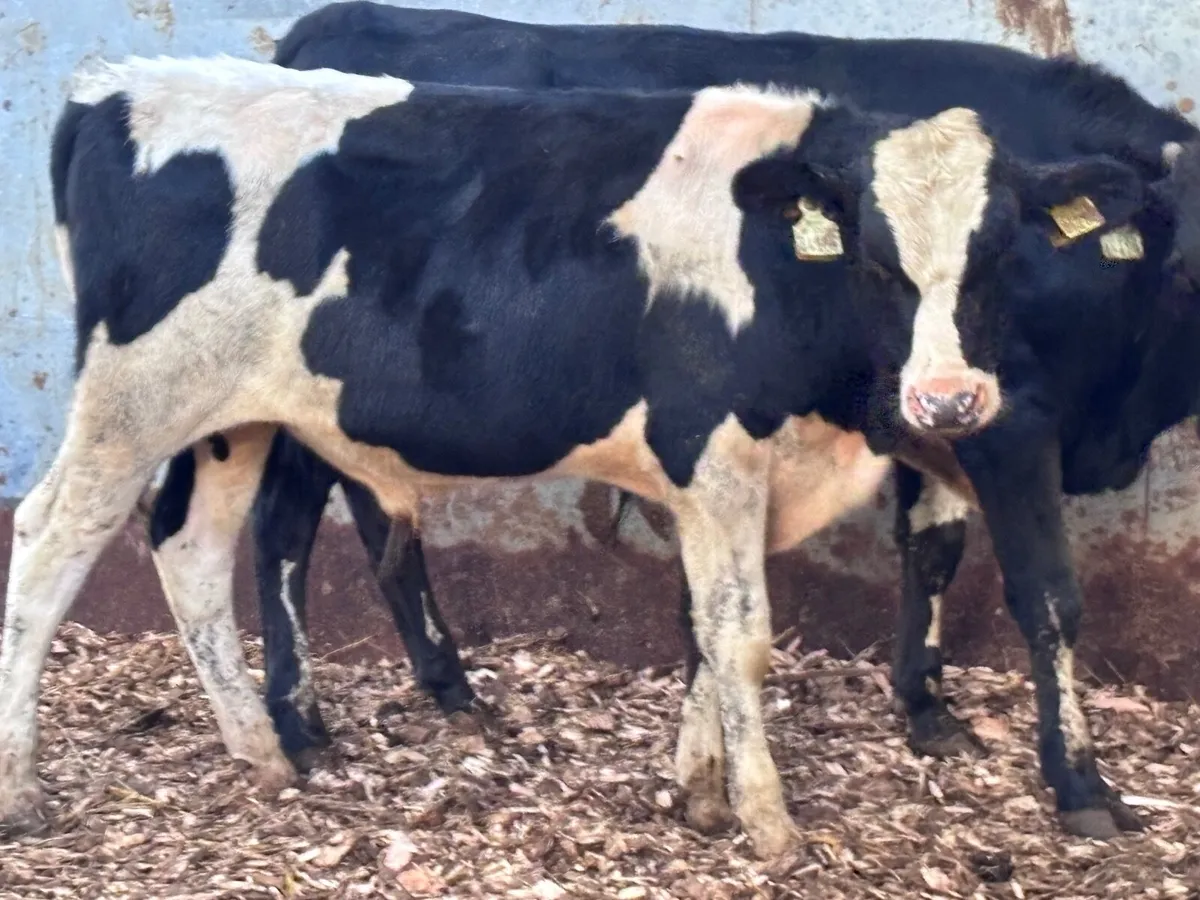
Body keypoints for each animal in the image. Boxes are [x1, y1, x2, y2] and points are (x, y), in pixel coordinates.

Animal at [0, 54, 1126, 856]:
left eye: (999, 252)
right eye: (878, 256)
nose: (950, 398)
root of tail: (112, 85)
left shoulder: (721, 480)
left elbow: (704, 629)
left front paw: (699, 791)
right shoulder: (713, 453)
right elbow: (742, 637)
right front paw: (768, 824)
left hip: (231, 418)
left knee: (191, 551)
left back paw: (263, 753)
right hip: (131, 404)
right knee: (50, 543)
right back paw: (20, 787)